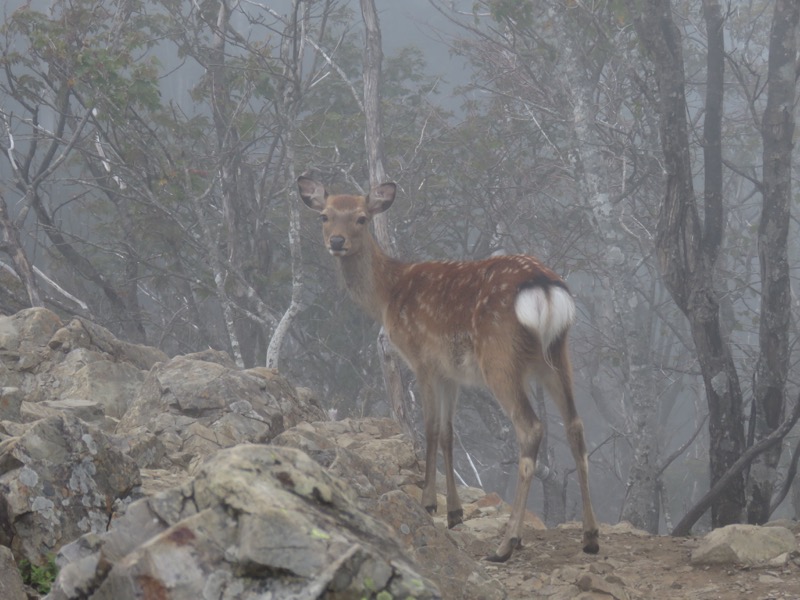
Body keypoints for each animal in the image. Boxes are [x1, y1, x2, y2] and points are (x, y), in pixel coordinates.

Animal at [296, 176, 596, 560]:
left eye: (362, 218)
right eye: (325, 216)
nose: (336, 241)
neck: (388, 296)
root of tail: (544, 288)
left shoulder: (421, 358)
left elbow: (430, 429)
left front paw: (428, 503)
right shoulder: (451, 373)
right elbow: (450, 433)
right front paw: (454, 512)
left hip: (499, 357)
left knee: (530, 427)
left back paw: (507, 543)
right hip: (557, 355)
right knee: (575, 425)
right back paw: (590, 536)